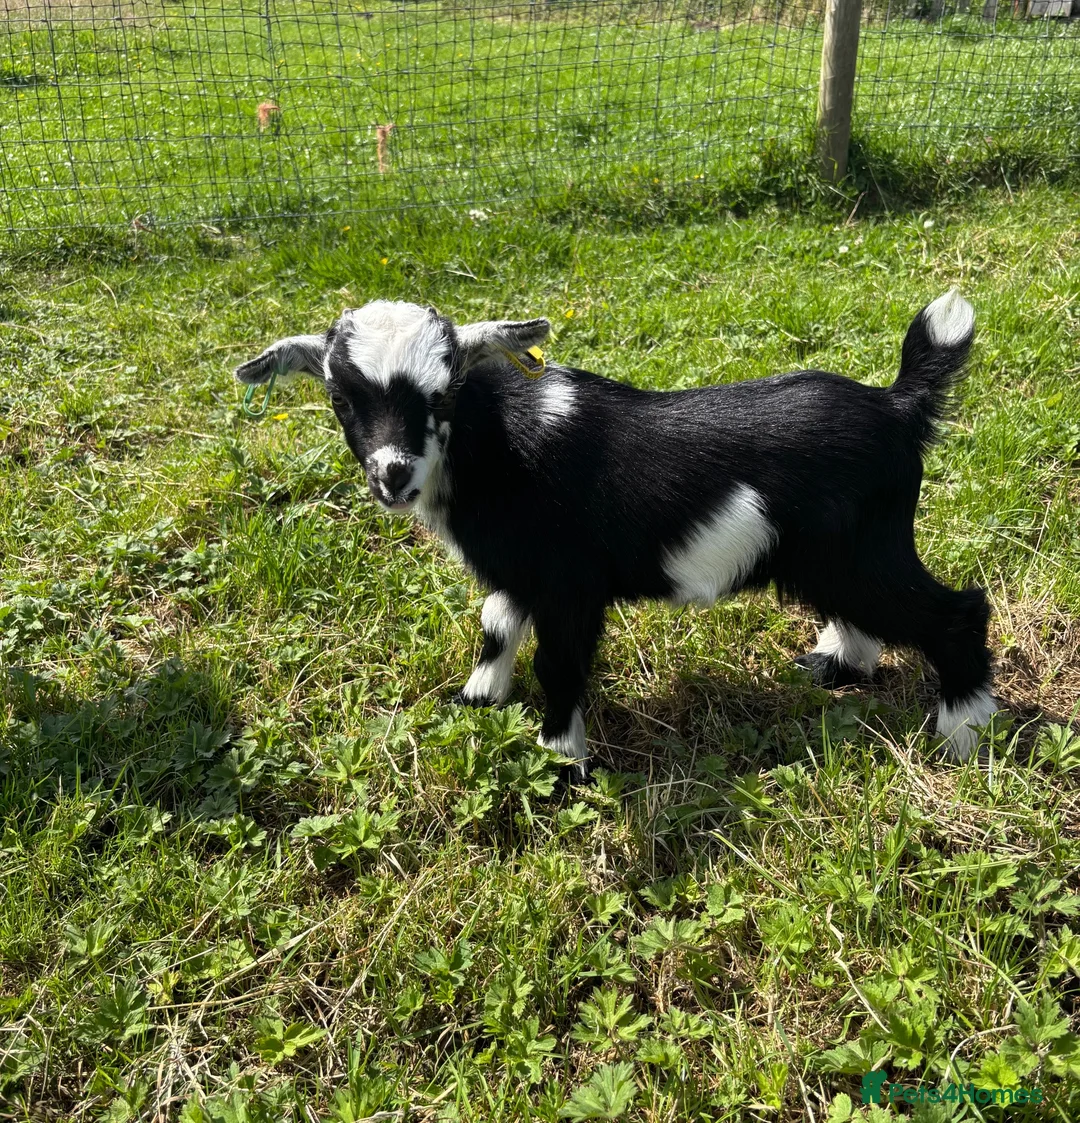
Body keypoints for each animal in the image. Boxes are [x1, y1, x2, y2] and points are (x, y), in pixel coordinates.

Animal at [235, 292, 996, 776]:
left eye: (443, 392)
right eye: (341, 399)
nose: (393, 475)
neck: (496, 443)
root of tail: (897, 406)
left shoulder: (570, 581)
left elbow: (560, 662)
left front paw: (562, 762)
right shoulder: (522, 568)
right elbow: (496, 624)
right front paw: (479, 700)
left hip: (865, 551)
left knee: (955, 611)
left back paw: (962, 731)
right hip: (838, 555)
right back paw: (839, 664)